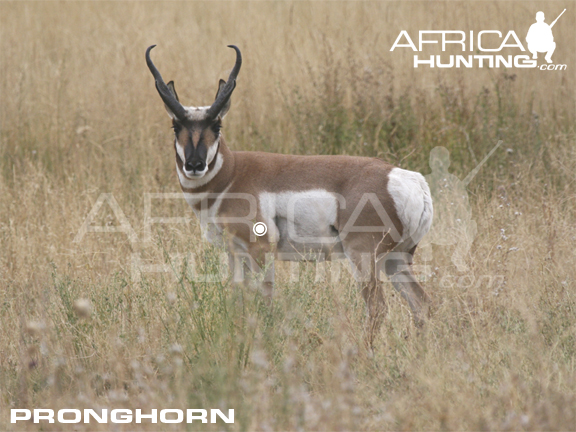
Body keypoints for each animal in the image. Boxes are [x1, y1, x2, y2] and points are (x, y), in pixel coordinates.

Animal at [146, 45, 434, 340]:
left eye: (217, 125)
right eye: (176, 126)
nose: (195, 165)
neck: (233, 173)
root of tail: (408, 179)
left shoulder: (260, 250)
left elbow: (265, 300)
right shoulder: (235, 253)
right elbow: (238, 300)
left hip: (364, 257)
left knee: (378, 307)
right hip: (395, 259)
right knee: (422, 303)